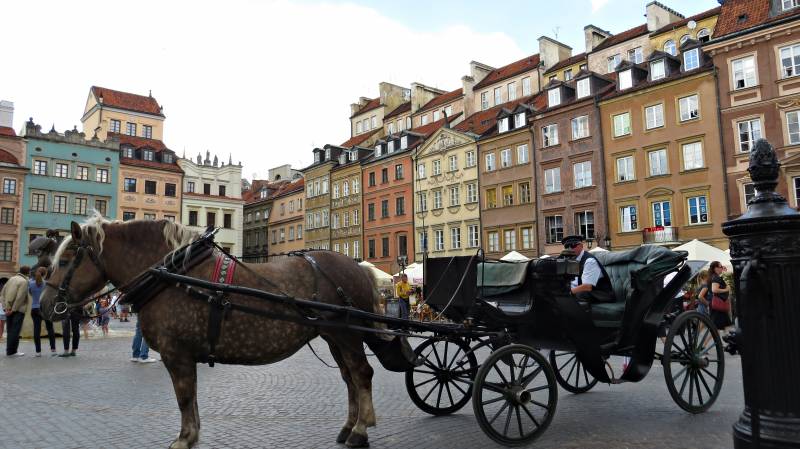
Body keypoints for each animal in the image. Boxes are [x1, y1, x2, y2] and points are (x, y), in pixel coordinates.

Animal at [38, 215, 416, 446]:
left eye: (66, 259)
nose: (44, 305)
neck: (174, 275)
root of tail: (355, 265)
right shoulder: (184, 356)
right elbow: (190, 398)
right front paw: (193, 435)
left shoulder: (177, 354)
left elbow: (184, 396)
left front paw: (184, 438)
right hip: (334, 336)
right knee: (349, 378)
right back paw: (349, 426)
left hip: (347, 335)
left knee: (362, 374)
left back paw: (361, 429)